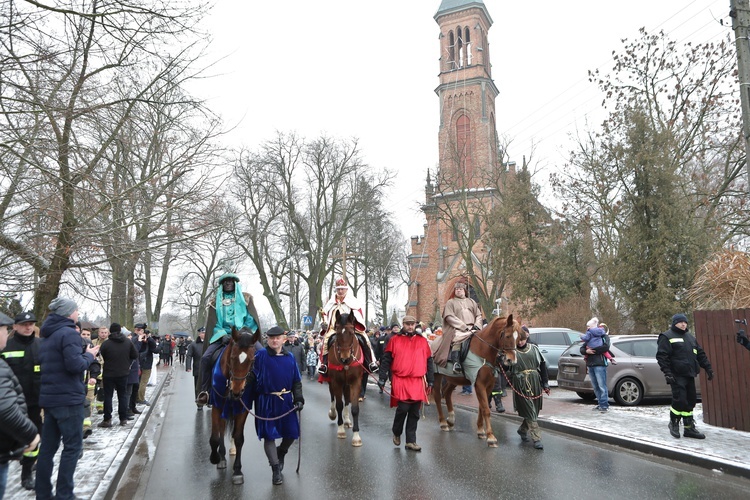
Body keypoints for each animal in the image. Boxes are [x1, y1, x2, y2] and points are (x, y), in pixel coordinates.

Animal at [209, 326, 262, 482]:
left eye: (252, 360)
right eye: (232, 357)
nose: (237, 391)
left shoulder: (242, 409)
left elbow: (239, 438)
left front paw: (237, 471)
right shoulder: (216, 404)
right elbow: (215, 437)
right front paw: (215, 458)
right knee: (221, 429)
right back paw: (221, 456)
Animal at [328, 310, 366, 448]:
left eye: (351, 333)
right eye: (338, 332)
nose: (345, 356)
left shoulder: (355, 382)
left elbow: (354, 408)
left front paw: (356, 437)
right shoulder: (336, 382)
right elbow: (339, 404)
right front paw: (340, 431)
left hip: (347, 384)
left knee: (347, 399)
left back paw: (347, 420)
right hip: (332, 382)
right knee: (333, 397)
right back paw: (333, 413)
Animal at [432, 314, 520, 448]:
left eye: (518, 337)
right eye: (508, 335)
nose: (511, 361)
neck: (482, 350)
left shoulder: (488, 385)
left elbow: (481, 407)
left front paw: (480, 431)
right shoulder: (479, 384)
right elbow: (486, 410)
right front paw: (491, 437)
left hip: (454, 379)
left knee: (446, 393)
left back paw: (451, 420)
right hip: (437, 376)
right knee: (437, 395)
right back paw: (443, 422)